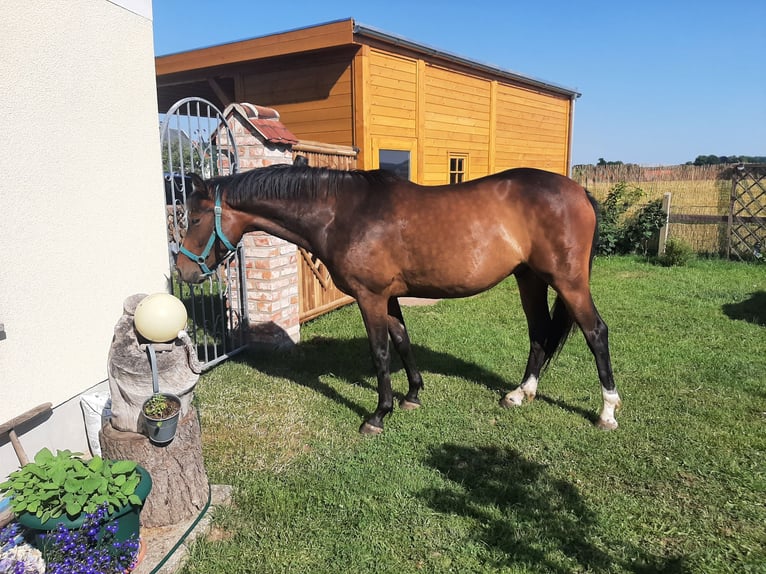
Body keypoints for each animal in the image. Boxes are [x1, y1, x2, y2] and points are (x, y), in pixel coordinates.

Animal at [174, 162, 621, 434]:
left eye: (193, 218)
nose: (183, 271)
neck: (342, 213)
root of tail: (578, 191)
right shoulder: (388, 297)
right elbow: (403, 341)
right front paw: (413, 396)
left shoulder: (369, 297)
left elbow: (380, 352)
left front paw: (378, 414)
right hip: (529, 278)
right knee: (540, 332)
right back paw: (520, 393)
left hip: (567, 281)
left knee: (595, 332)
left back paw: (607, 411)